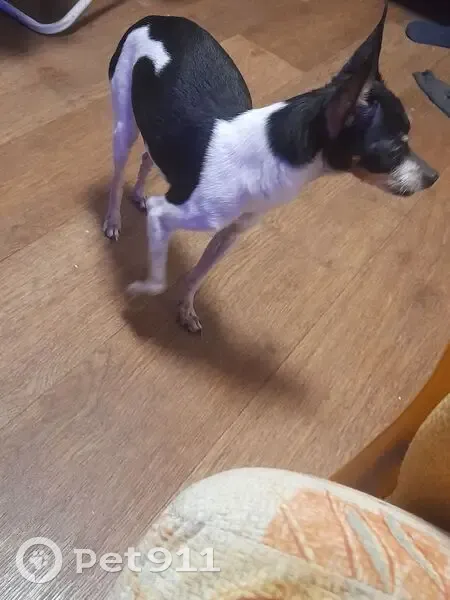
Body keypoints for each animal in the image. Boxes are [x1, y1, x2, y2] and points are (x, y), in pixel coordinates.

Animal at [104, 1, 438, 333]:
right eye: (393, 150)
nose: (433, 177)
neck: (269, 155)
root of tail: (154, 18)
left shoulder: (229, 235)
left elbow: (198, 275)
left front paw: (186, 307)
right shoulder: (165, 213)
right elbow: (158, 281)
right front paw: (138, 291)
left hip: (156, 129)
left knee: (148, 156)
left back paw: (138, 194)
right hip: (124, 125)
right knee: (118, 173)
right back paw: (113, 220)